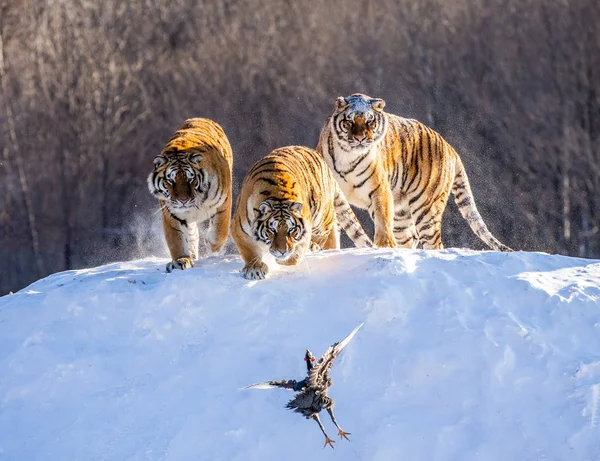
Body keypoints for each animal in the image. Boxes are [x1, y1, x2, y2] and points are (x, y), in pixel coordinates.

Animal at [149, 117, 233, 272]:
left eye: (190, 179)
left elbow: (220, 230)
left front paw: (211, 243)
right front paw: (181, 260)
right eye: (170, 180)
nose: (183, 200)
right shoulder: (171, 213)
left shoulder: (223, 202)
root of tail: (201, 118)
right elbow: (176, 239)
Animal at [232, 146, 372, 278]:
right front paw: (254, 269)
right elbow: (249, 251)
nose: (282, 251)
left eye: (291, 230)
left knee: (327, 230)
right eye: (272, 230)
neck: (277, 194)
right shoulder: (239, 229)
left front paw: (282, 259)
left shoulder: (305, 229)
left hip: (321, 217)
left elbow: (295, 256)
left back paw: (314, 246)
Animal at [318, 93, 510, 252]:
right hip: (402, 215)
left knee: (434, 243)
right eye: (349, 121)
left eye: (370, 121)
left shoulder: (379, 189)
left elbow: (382, 221)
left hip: (426, 209)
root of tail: (450, 147)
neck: (347, 155)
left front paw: (384, 246)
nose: (360, 138)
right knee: (410, 237)